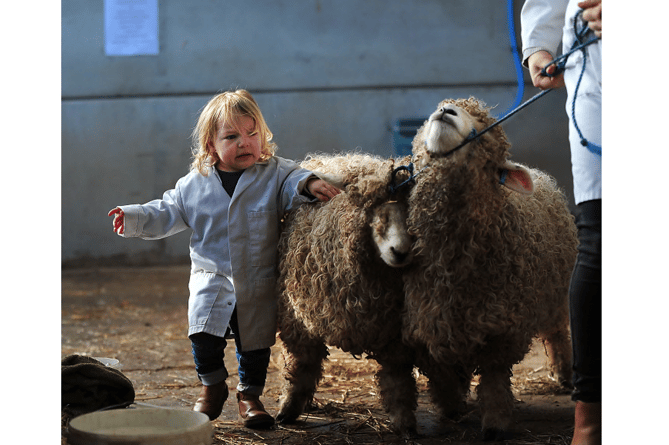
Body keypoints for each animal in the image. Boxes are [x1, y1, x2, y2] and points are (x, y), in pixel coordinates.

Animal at [272, 153, 418, 434]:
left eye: (411, 215)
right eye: (378, 214)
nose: (401, 252)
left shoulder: (395, 332)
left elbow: (398, 378)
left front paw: (404, 422)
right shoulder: (296, 319)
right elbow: (300, 365)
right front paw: (288, 409)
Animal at [402, 97, 580, 440]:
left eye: (485, 128)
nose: (445, 110)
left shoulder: (503, 325)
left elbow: (495, 378)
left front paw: (496, 423)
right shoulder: (427, 322)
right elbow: (441, 373)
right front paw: (451, 405)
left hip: (554, 293)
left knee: (557, 333)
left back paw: (564, 373)